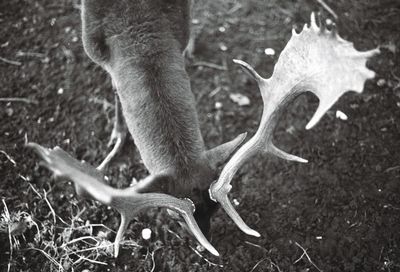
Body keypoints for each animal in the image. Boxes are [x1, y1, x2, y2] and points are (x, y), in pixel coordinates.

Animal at [27, 0, 378, 258]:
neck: (135, 30)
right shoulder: (93, 42)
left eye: (218, 209)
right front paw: (116, 136)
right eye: (172, 216)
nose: (205, 248)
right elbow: (113, 89)